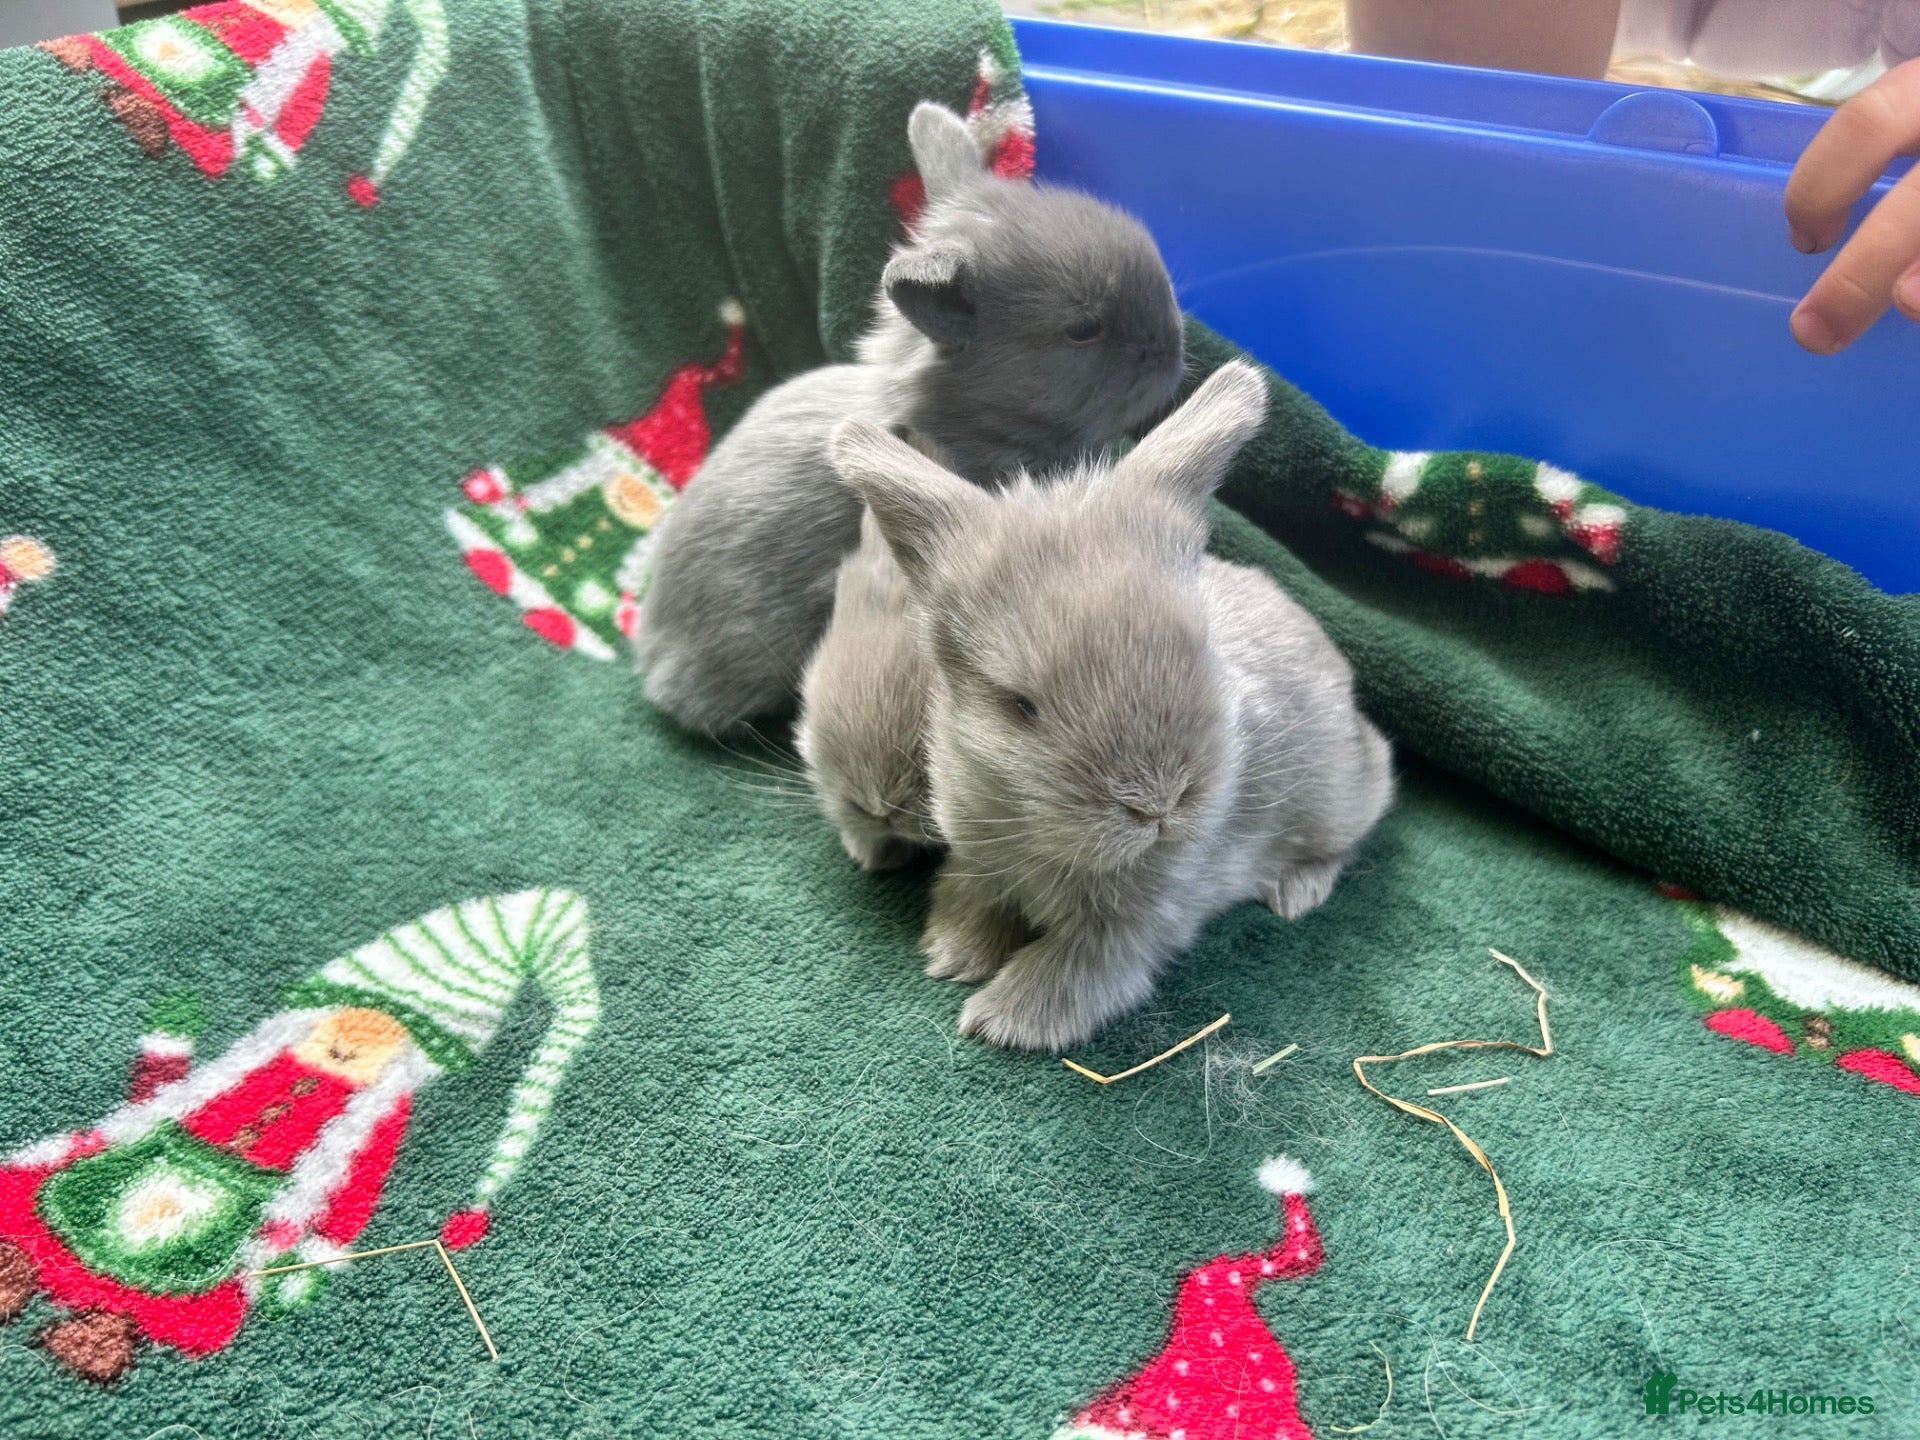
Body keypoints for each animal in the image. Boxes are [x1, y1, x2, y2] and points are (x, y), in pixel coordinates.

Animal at [827, 361, 1395, 1053]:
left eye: (1200, 649)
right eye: (1022, 706)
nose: (1158, 807)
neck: (1038, 837)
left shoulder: (1133, 925)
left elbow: (1077, 968)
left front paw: (1000, 1020)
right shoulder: (979, 861)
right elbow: (975, 900)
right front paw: (951, 955)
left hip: (1337, 797)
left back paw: (1296, 893)